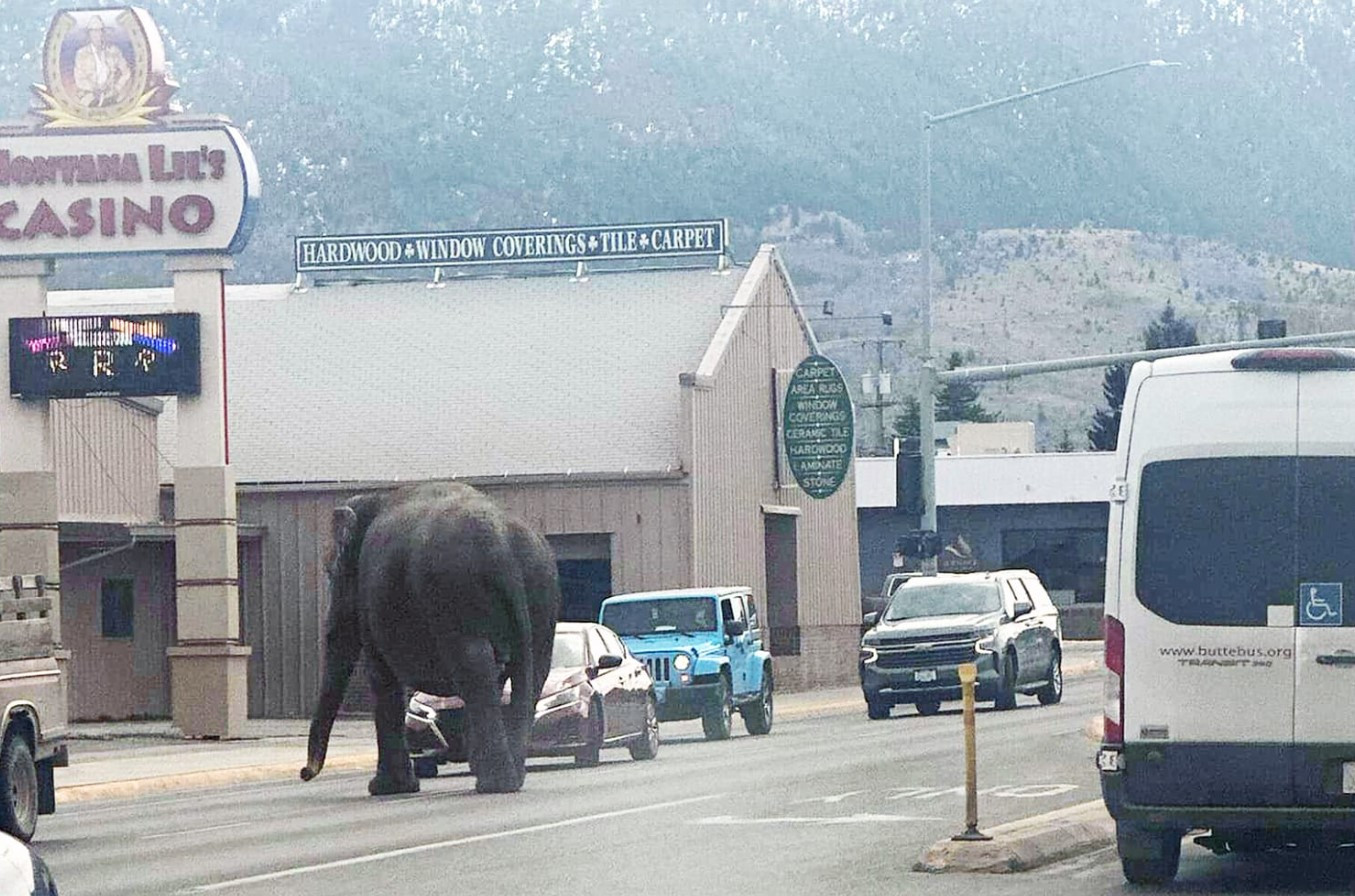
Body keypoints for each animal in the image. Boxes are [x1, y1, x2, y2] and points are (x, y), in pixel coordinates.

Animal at [302, 479, 560, 791]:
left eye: (331, 572)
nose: (304, 773)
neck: (374, 499)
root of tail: (503, 546)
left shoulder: (370, 598)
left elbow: (380, 674)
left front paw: (386, 788)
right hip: (541, 589)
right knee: (529, 673)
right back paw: (509, 779)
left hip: (456, 591)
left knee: (474, 666)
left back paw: (493, 784)